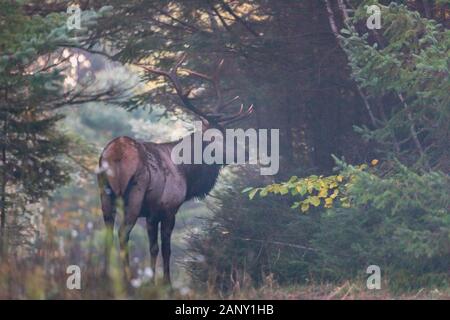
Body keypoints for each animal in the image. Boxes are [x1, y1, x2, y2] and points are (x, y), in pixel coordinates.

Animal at [97, 53, 253, 284]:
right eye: (216, 139)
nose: (243, 152)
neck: (187, 176)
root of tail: (115, 153)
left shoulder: (152, 213)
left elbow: (153, 248)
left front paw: (153, 281)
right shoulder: (167, 207)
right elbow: (165, 249)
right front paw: (165, 284)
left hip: (104, 192)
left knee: (107, 232)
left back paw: (105, 277)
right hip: (134, 193)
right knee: (123, 233)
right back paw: (127, 280)